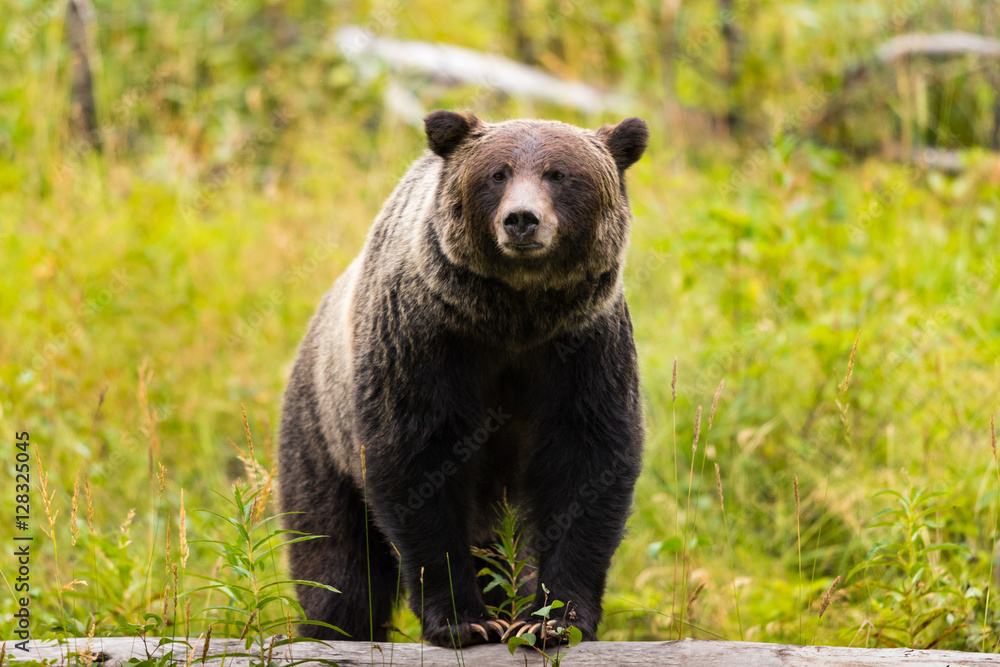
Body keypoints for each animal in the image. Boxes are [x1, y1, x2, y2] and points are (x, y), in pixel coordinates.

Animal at [280, 109, 648, 648]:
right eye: (497, 173)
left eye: (559, 174)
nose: (522, 219)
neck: (514, 316)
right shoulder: (425, 342)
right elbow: (418, 465)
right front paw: (463, 619)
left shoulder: (582, 349)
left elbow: (587, 463)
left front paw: (553, 619)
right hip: (321, 435)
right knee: (335, 561)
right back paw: (333, 628)